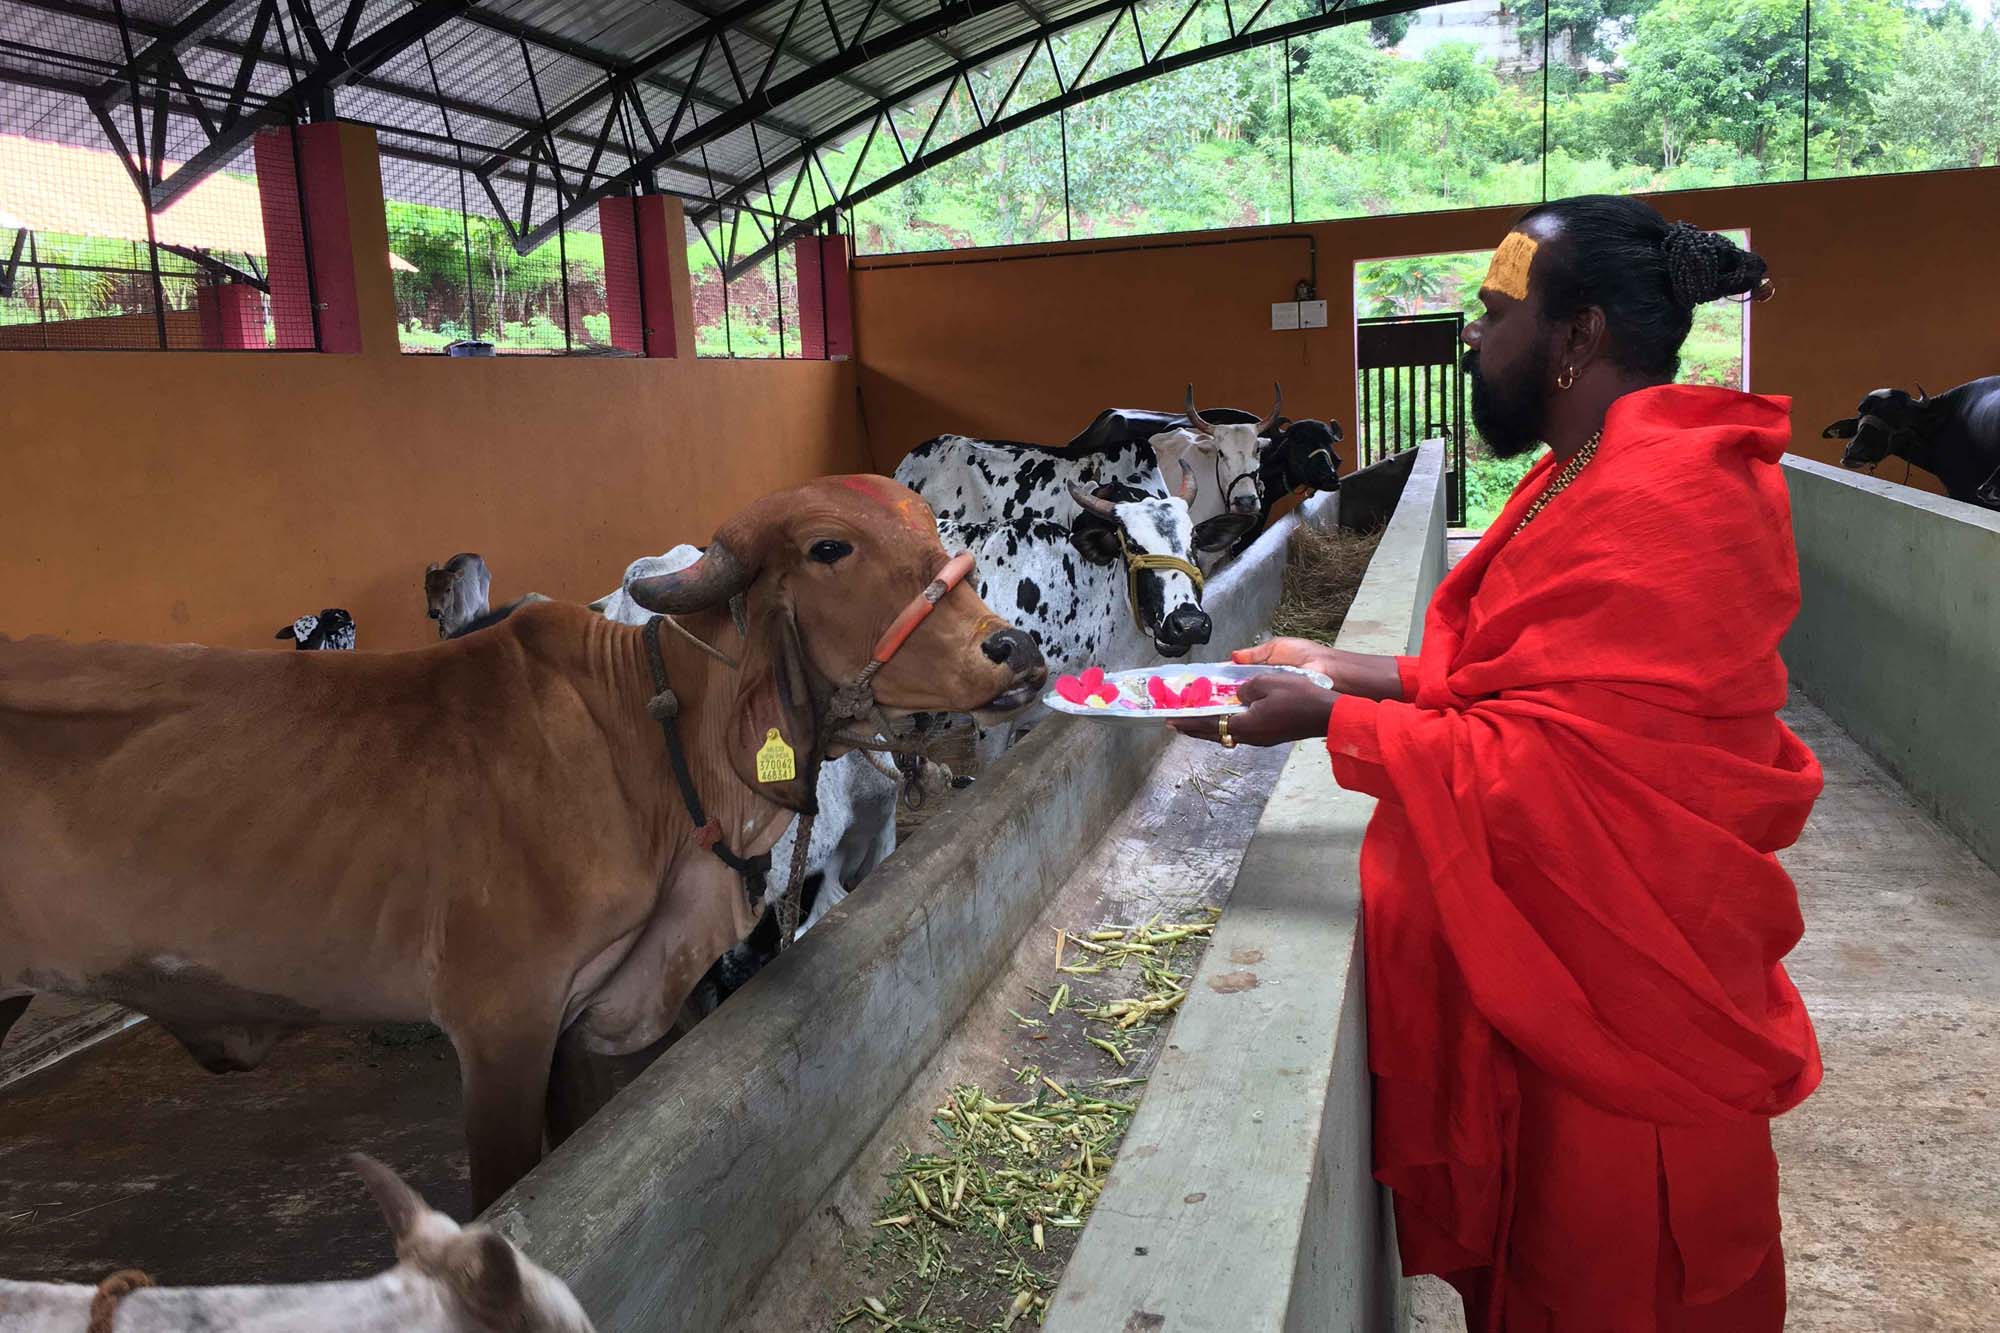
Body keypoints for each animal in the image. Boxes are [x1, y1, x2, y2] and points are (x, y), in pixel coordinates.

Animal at [0, 474, 1040, 1200]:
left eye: (933, 532)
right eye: (830, 547)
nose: (1016, 647)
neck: (638, 742)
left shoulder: (586, 1018)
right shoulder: (501, 1022)